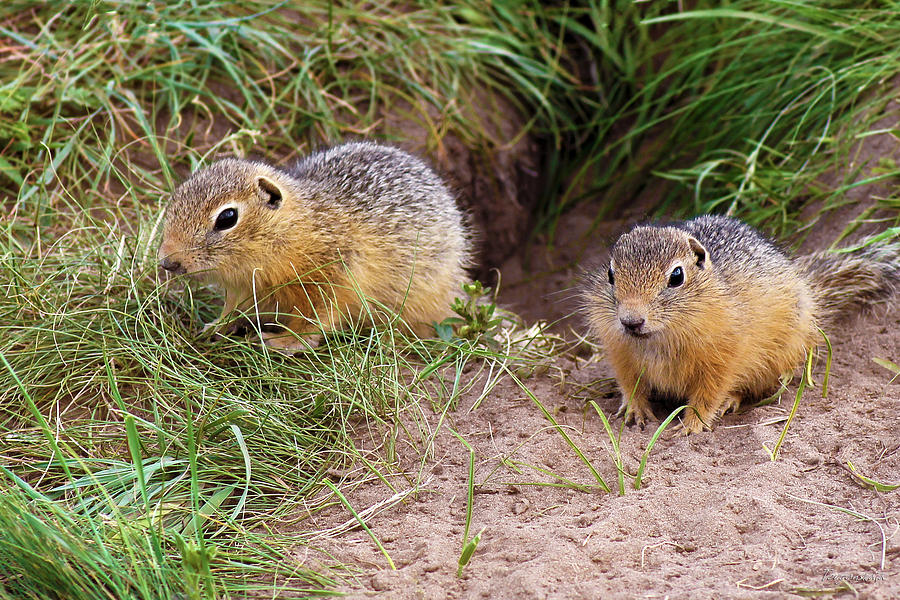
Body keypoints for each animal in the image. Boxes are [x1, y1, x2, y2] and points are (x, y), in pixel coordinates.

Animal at [159, 139, 474, 352]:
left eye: (227, 218)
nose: (166, 261)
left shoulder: (331, 280)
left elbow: (311, 322)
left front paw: (281, 341)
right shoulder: (243, 288)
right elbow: (233, 309)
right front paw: (215, 327)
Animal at [588, 216, 896, 436]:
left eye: (676, 276)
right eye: (611, 274)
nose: (631, 321)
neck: (660, 338)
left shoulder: (723, 358)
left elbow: (709, 393)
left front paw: (692, 424)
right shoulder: (621, 354)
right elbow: (631, 385)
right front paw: (636, 411)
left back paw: (730, 401)